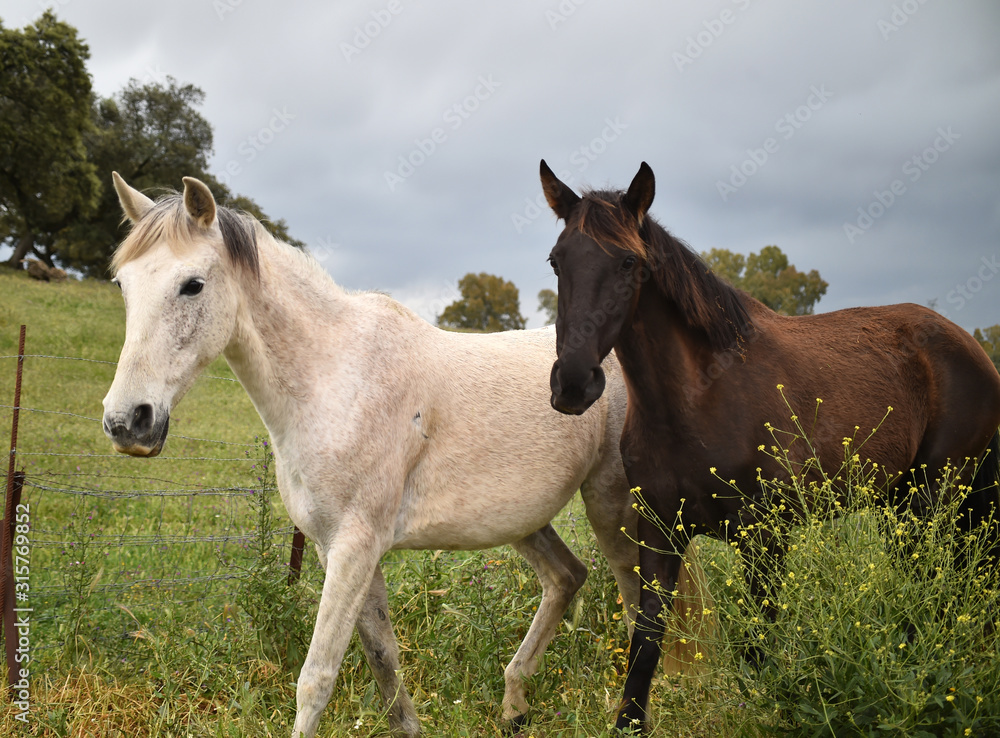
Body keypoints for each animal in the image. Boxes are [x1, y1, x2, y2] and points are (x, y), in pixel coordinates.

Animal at [101, 174, 640, 736]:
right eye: (122, 285)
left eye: (192, 285)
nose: (127, 421)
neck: (333, 380)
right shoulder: (333, 548)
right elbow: (383, 659)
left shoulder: (355, 548)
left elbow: (316, 678)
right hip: (524, 521)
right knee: (567, 577)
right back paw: (515, 705)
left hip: (610, 504)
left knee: (637, 598)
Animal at [540, 161, 1000, 732]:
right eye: (557, 261)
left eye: (629, 261)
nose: (573, 384)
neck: (702, 397)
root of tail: (972, 348)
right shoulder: (661, 532)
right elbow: (646, 641)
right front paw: (630, 722)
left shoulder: (764, 538)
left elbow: (762, 642)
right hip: (901, 504)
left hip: (932, 500)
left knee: (934, 587)